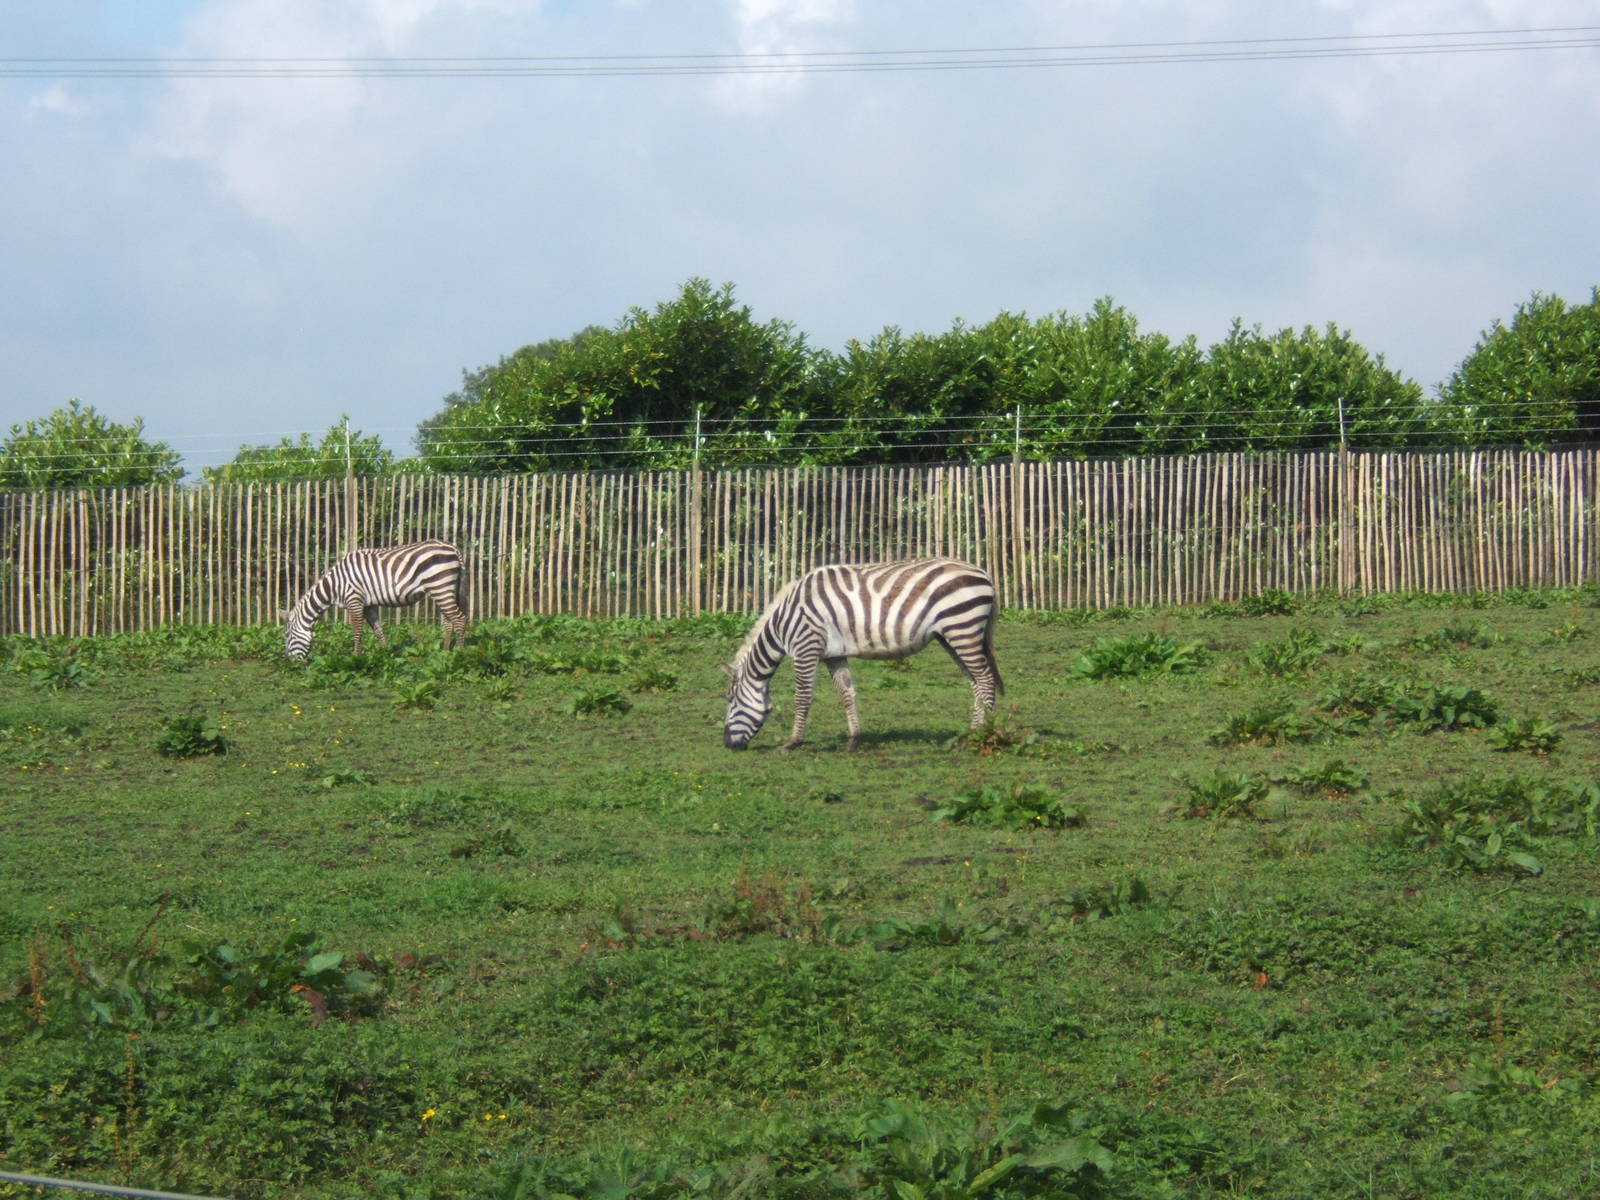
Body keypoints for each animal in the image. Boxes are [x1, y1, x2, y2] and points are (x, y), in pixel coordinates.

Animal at [283, 539, 467, 662]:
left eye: (287, 635)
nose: (290, 663)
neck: (335, 585)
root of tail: (453, 548)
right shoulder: (369, 605)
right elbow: (378, 629)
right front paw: (386, 654)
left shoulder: (354, 599)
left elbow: (357, 630)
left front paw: (356, 658)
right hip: (444, 589)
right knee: (449, 621)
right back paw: (444, 652)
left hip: (440, 586)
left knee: (459, 619)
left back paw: (459, 653)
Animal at [723, 557, 1003, 751]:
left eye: (730, 700)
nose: (727, 744)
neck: (784, 620)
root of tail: (984, 573)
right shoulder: (832, 654)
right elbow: (846, 694)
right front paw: (854, 740)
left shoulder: (806, 647)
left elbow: (802, 697)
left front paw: (792, 742)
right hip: (952, 635)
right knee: (976, 681)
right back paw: (972, 732)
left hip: (962, 627)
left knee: (985, 679)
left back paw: (983, 734)